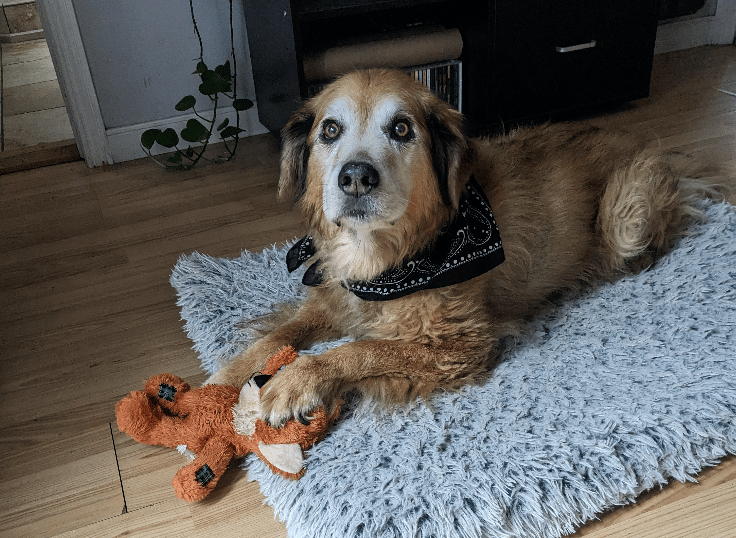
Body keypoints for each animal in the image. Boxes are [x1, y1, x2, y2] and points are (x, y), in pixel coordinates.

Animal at [206, 69, 722, 427]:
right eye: (330, 130)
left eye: (401, 129)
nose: (354, 177)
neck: (387, 259)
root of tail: (654, 148)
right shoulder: (332, 298)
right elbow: (276, 337)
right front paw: (219, 385)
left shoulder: (460, 344)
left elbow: (361, 349)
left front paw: (296, 380)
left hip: (625, 216)